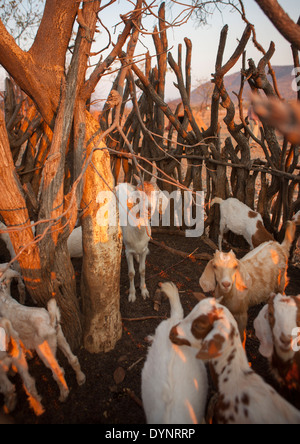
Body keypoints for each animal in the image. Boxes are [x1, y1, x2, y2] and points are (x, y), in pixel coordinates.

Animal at [0, 268, 85, 402]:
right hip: (61, 337)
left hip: (45, 351)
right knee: (73, 359)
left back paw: (63, 395)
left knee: (58, 371)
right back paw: (81, 378)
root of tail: (50, 322)